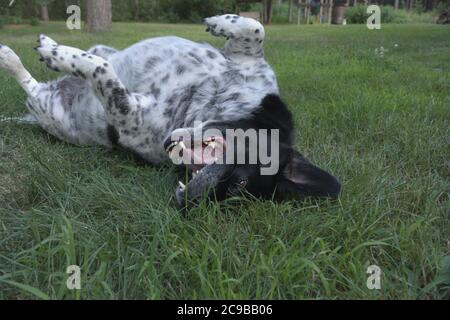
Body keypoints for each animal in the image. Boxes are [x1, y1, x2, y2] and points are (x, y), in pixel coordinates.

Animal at [0, 14, 340, 205]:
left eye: (236, 190)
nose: (188, 202)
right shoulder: (250, 66)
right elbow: (255, 29)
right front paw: (219, 21)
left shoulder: (128, 115)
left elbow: (102, 71)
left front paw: (61, 56)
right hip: (100, 50)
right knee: (95, 54)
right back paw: (46, 42)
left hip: (49, 107)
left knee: (34, 86)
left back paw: (15, 57)